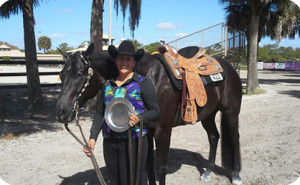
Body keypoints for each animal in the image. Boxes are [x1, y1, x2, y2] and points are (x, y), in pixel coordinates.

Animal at [56, 43, 243, 185]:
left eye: (80, 74)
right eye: (61, 74)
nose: (61, 112)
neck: (151, 78)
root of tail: (230, 68)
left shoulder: (163, 130)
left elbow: (160, 168)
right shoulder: (148, 130)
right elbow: (146, 164)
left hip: (231, 113)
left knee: (234, 139)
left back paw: (236, 175)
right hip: (208, 115)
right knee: (214, 137)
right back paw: (207, 172)